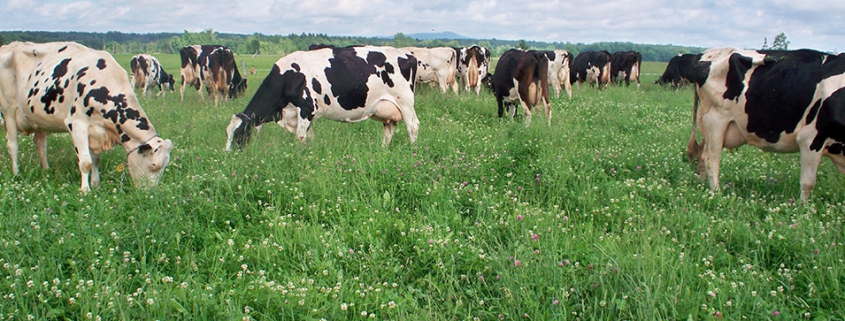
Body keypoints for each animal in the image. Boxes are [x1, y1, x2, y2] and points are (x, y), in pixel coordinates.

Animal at [0, 42, 173, 192]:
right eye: (153, 165)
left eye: (164, 167)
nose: (150, 193)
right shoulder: (77, 124)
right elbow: (86, 162)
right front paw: (85, 190)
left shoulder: (97, 130)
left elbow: (96, 160)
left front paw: (96, 184)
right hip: (9, 111)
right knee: (13, 145)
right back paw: (16, 173)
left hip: (38, 118)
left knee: (40, 144)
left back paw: (46, 170)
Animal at [226, 45, 420, 149]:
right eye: (227, 133)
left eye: (238, 134)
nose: (228, 155)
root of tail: (407, 54)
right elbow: (309, 138)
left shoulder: (306, 108)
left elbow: (300, 138)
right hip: (387, 108)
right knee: (389, 129)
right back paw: (383, 150)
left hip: (405, 102)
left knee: (412, 126)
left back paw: (413, 151)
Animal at [684, 47, 844, 200]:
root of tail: (706, 53)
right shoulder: (810, 139)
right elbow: (808, 183)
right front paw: (803, 208)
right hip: (716, 120)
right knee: (711, 160)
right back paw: (716, 193)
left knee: (702, 155)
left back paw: (702, 186)